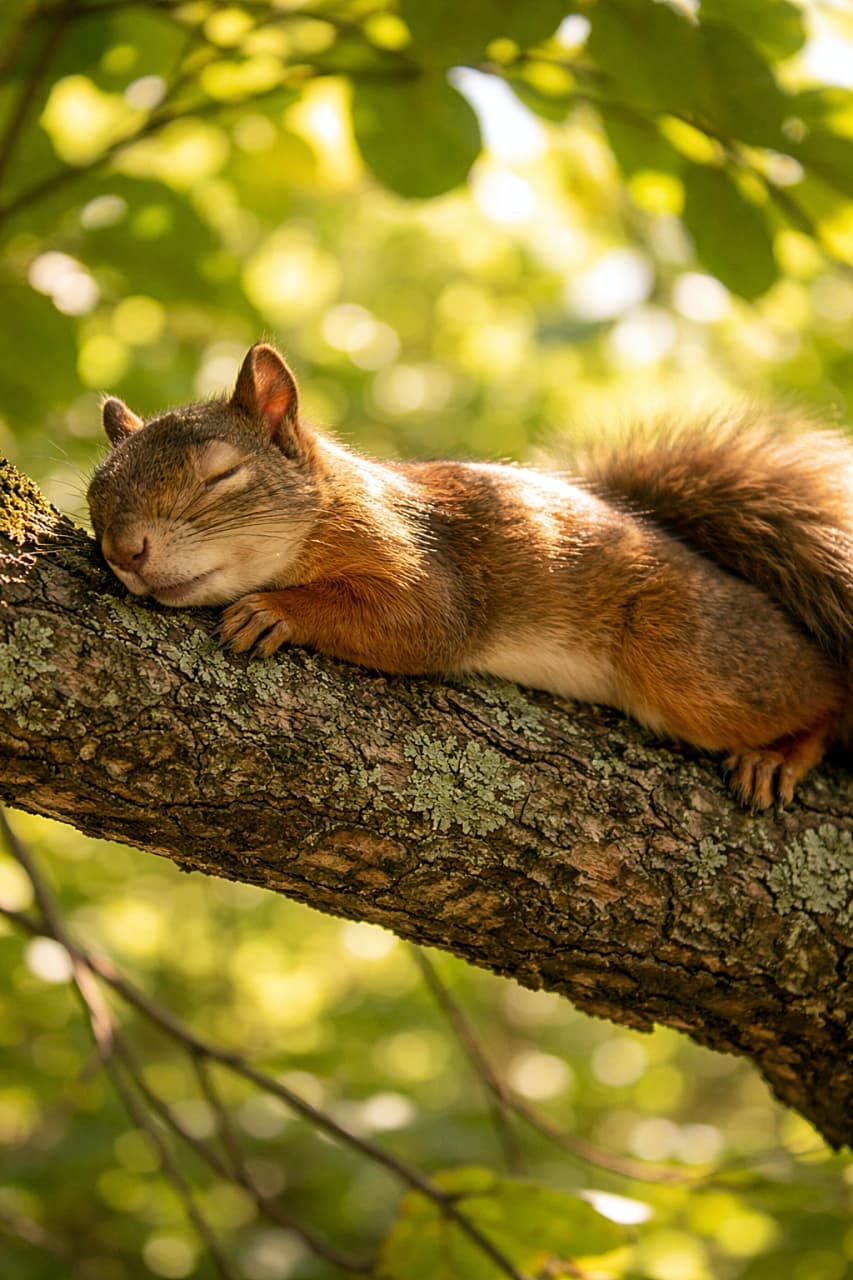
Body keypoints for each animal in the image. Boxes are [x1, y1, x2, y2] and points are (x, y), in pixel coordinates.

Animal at [87, 341, 853, 811]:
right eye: (96, 498)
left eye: (221, 475)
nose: (126, 551)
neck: (325, 511)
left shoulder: (421, 559)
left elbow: (424, 625)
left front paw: (276, 609)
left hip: (689, 659)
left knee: (823, 693)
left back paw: (781, 755)